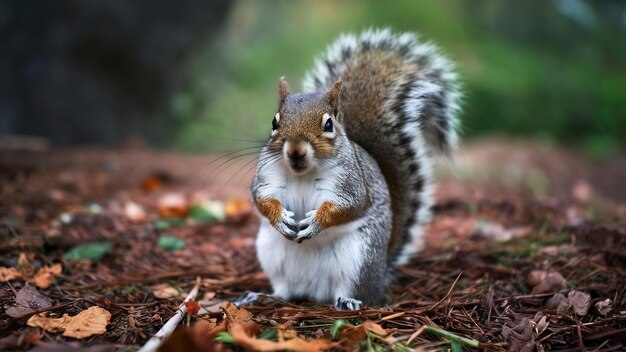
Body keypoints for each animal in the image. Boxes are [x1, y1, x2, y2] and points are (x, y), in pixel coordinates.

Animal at [244, 28, 458, 310]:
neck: (302, 174)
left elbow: (349, 206)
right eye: (274, 122)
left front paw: (316, 222)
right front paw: (279, 218)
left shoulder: (351, 182)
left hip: (359, 258)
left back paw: (349, 301)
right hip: (271, 253)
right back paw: (261, 296)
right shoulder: (267, 176)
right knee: (285, 291)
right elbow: (262, 198)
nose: (295, 150)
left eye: (328, 124)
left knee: (362, 294)